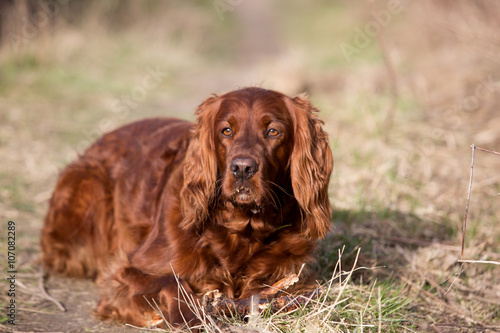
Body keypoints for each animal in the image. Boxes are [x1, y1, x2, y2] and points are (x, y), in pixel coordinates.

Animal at [41, 87, 334, 328]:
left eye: (273, 131)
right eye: (226, 130)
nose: (242, 168)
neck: (242, 228)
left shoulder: (292, 274)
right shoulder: (126, 271)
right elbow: (172, 281)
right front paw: (189, 315)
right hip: (90, 184)